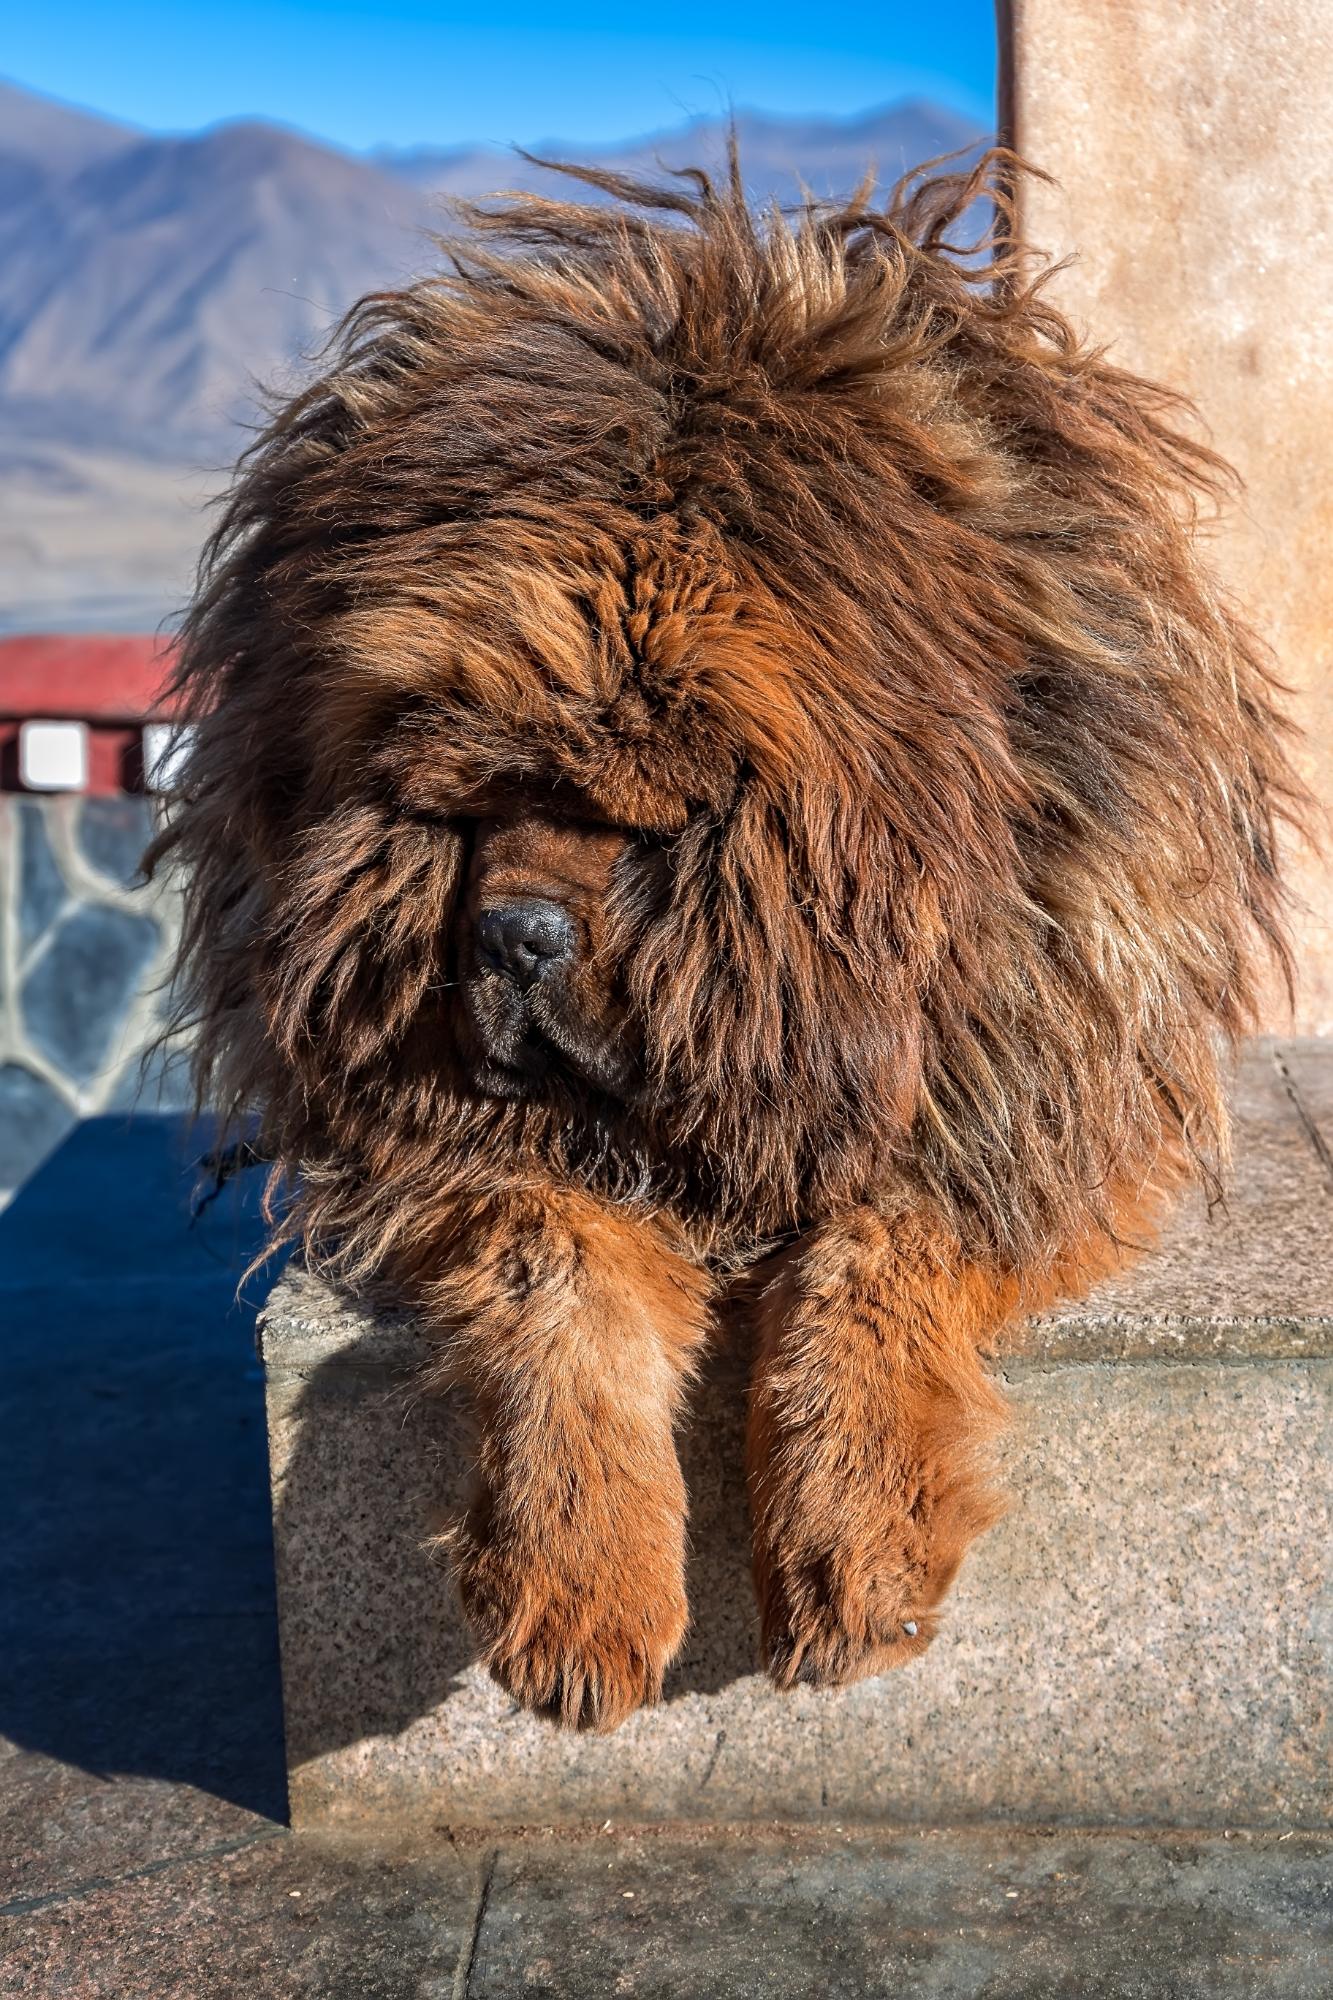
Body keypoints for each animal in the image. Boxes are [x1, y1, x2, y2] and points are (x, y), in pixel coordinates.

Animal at [150, 156, 1288, 1728]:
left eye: (640, 828)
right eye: (482, 803)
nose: (511, 937)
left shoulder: (1022, 1089)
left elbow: (874, 1264)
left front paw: (854, 1554)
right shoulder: (434, 1134)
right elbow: (555, 1272)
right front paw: (580, 1592)